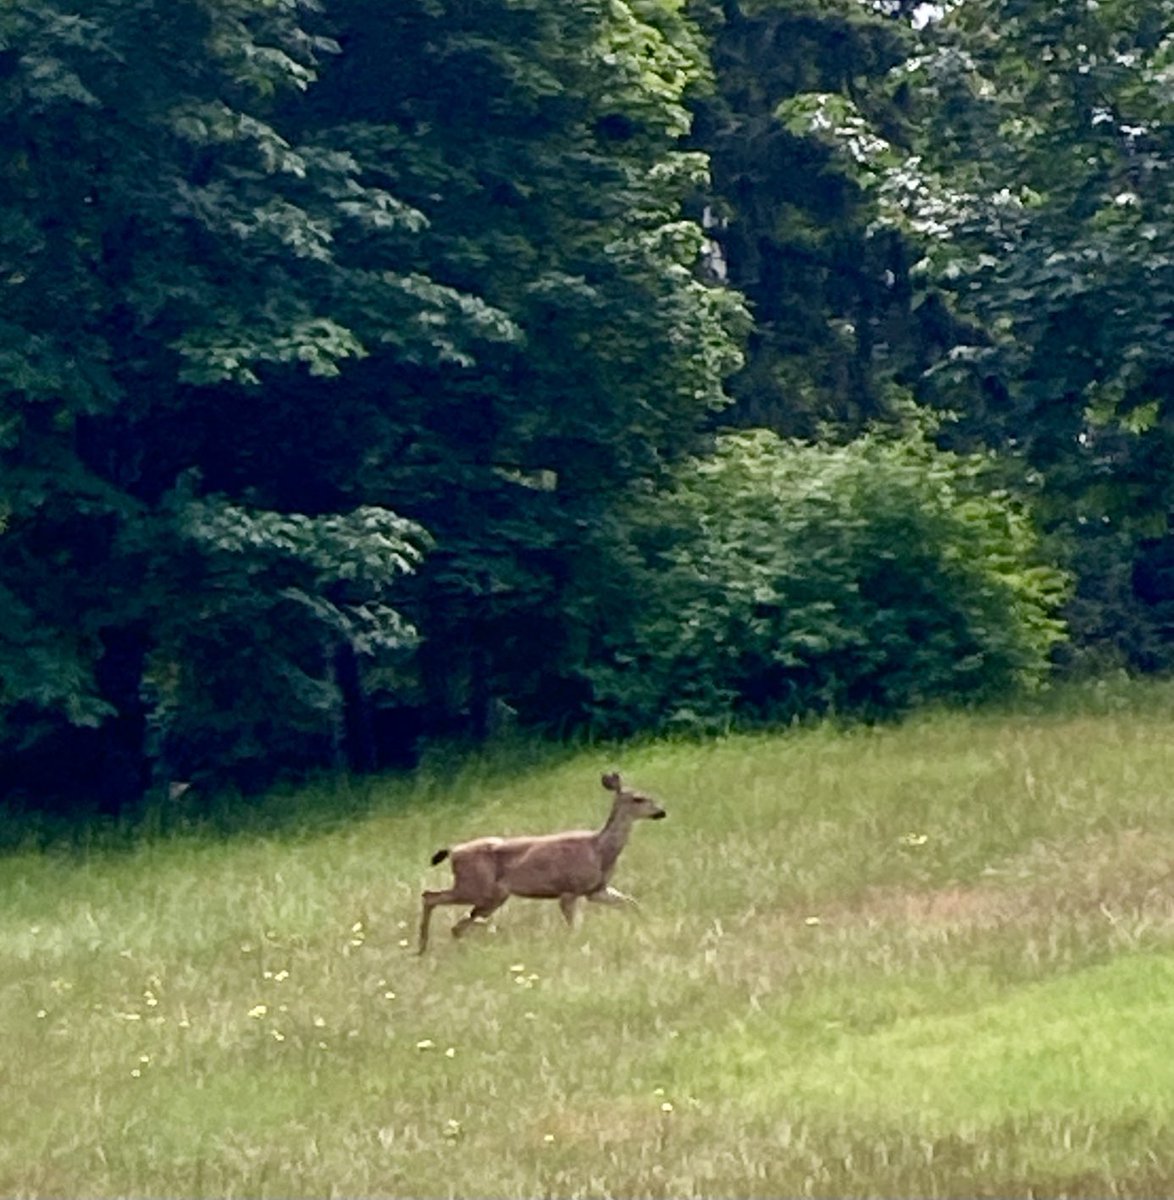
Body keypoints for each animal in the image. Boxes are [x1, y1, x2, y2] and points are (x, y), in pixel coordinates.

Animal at [417, 771, 666, 953]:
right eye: (638, 798)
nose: (661, 812)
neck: (599, 849)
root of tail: (453, 851)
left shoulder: (596, 890)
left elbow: (631, 903)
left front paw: (645, 927)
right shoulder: (569, 889)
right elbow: (574, 927)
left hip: (491, 896)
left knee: (458, 924)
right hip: (475, 887)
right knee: (431, 897)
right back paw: (422, 947)